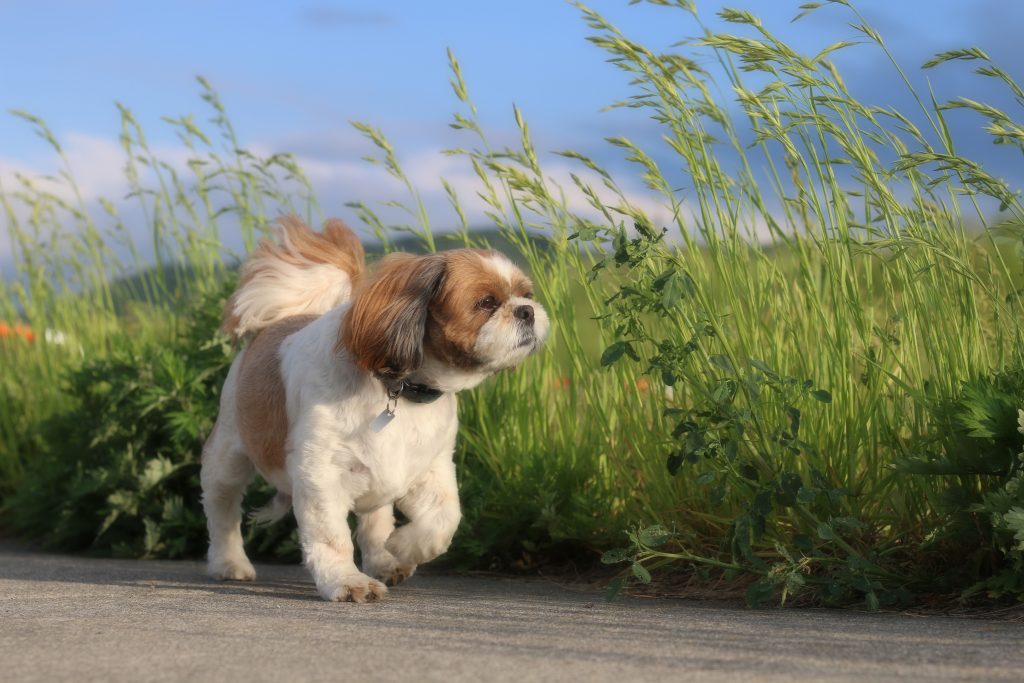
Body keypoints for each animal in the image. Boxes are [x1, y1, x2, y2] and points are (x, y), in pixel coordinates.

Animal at [201, 218, 552, 602]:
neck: (401, 387)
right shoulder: (321, 475)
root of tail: (278, 323)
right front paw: (346, 581)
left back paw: (384, 561)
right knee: (222, 507)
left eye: (527, 294)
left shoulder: (432, 467)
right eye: (486, 302)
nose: (527, 310)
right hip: (230, 453)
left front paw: (402, 546)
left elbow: (445, 517)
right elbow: (330, 537)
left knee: (375, 522)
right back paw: (229, 562)